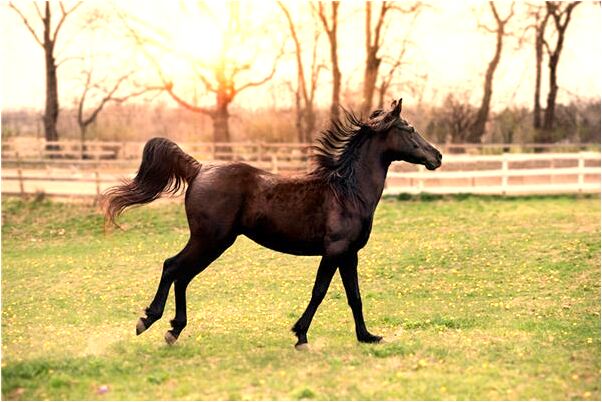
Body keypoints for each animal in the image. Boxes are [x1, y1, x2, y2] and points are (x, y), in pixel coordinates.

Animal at [104, 98, 440, 348]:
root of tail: (199, 169)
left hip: (212, 242)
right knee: (172, 267)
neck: (349, 192)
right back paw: (148, 321)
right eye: (409, 128)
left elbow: (354, 296)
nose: (437, 156)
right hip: (210, 239)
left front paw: (367, 337)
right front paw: (300, 335)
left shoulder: (349, 254)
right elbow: (319, 291)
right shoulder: (334, 251)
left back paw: (173, 329)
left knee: (182, 275)